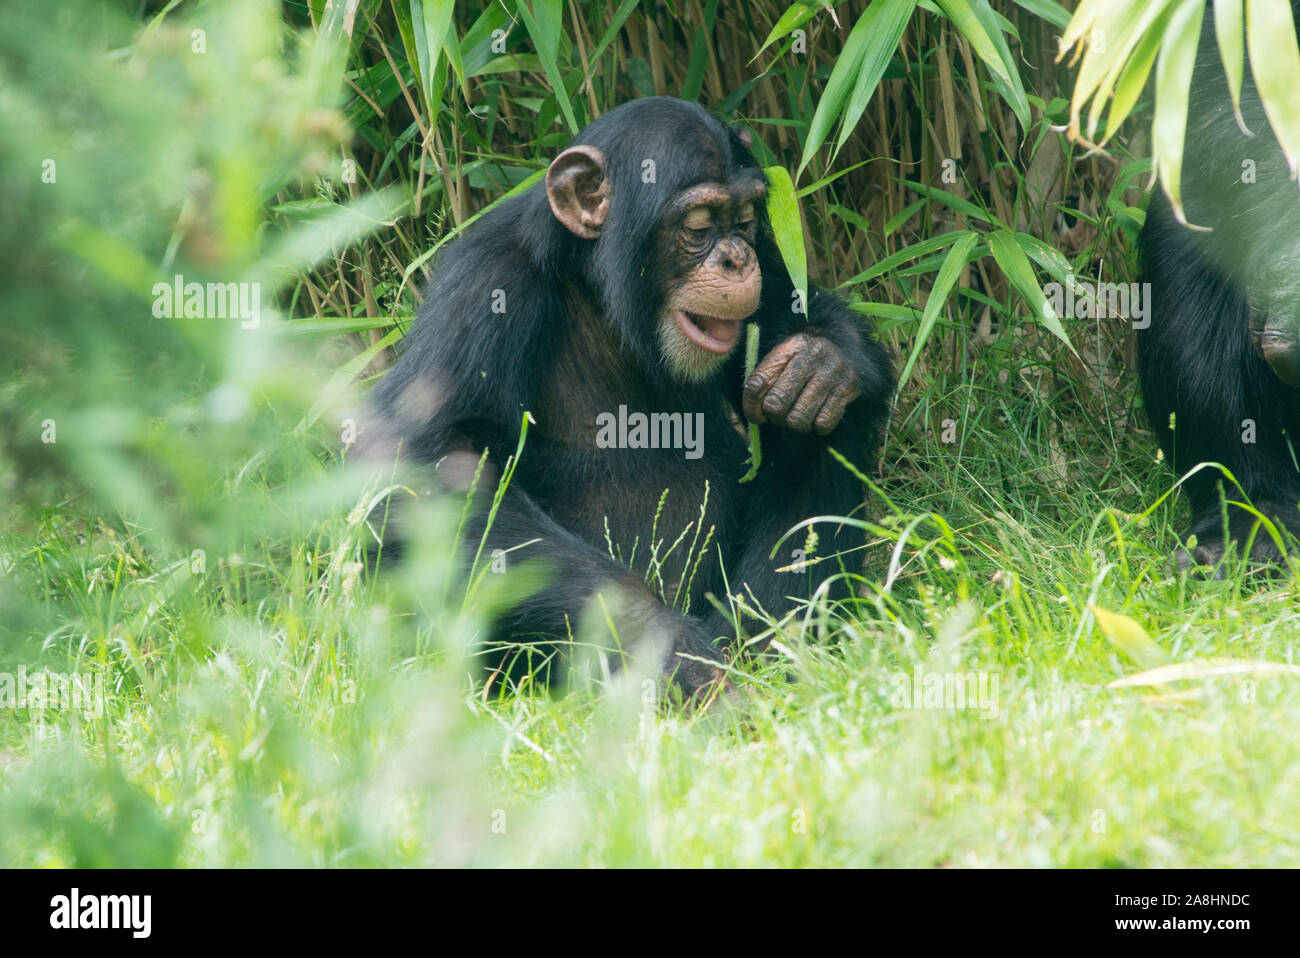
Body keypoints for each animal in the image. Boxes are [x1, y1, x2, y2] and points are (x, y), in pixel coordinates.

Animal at [366, 98, 894, 696]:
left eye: (744, 218)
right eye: (699, 224)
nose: (737, 258)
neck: (597, 290)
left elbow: (795, 313)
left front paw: (822, 362)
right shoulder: (486, 282)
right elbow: (433, 457)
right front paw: (665, 649)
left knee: (825, 425)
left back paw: (768, 647)